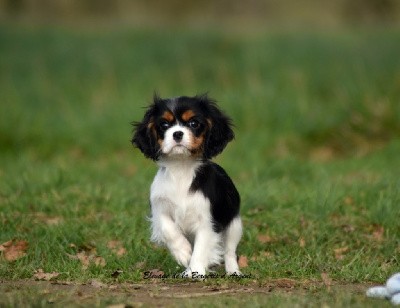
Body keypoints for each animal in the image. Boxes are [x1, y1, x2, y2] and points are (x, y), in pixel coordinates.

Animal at [133, 94, 242, 276]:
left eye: (193, 123)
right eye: (164, 125)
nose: (177, 133)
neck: (181, 168)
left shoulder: (207, 221)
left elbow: (201, 248)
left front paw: (195, 272)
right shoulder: (159, 208)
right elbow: (168, 230)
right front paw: (183, 253)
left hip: (234, 224)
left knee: (229, 251)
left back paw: (234, 272)